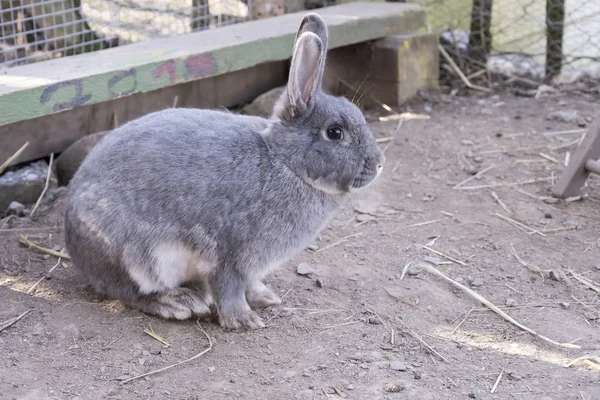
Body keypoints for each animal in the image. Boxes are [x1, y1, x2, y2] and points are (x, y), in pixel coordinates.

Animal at [64, 13, 384, 332]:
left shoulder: (250, 265)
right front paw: (243, 320)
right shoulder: (229, 254)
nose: (379, 164)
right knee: (127, 291)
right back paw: (177, 303)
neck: (283, 161)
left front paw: (266, 297)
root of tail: (72, 239)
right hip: (136, 258)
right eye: (335, 132)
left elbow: (250, 284)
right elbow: (228, 287)